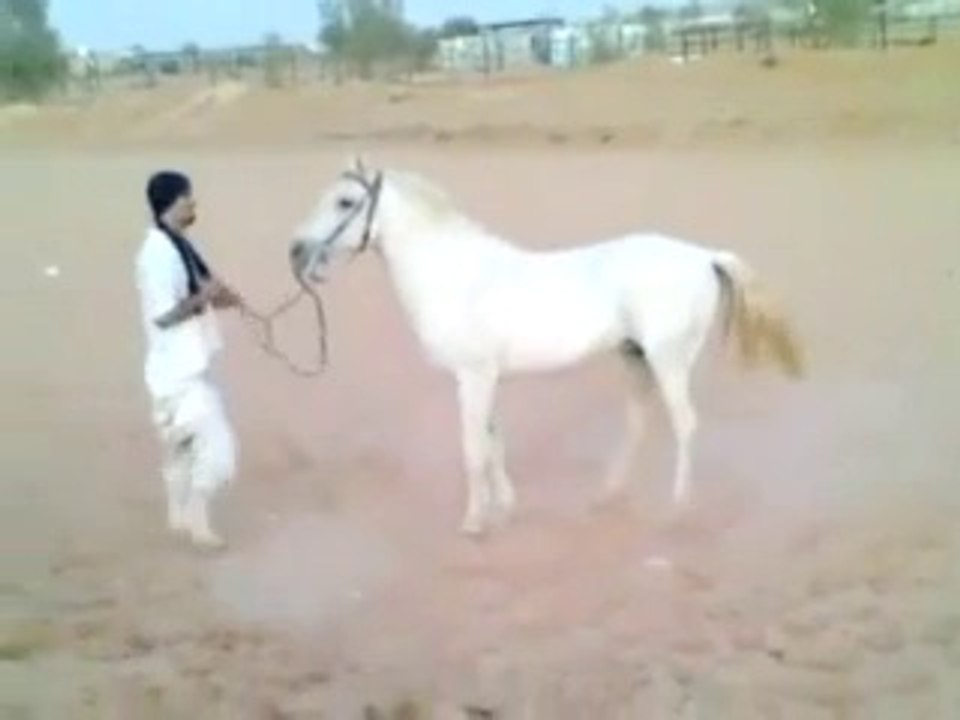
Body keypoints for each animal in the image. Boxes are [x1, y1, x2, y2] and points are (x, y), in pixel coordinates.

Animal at [288, 157, 805, 536]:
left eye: (345, 201)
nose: (296, 250)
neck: (456, 275)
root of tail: (703, 256)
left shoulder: (472, 378)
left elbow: (473, 450)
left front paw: (474, 523)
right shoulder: (485, 379)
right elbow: (493, 442)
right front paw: (505, 507)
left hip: (668, 361)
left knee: (685, 425)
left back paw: (678, 509)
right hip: (635, 358)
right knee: (639, 423)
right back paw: (607, 495)